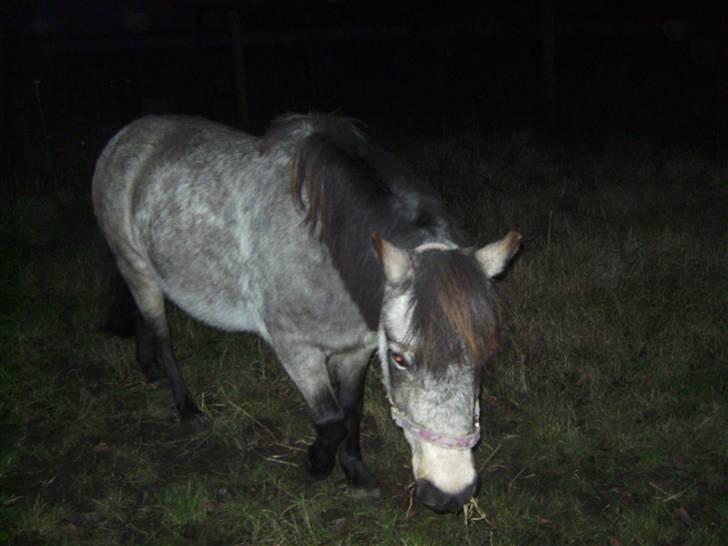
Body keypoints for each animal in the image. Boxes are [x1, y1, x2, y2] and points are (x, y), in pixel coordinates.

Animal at [92, 113, 520, 513]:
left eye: (483, 357)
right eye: (400, 358)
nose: (450, 493)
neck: (326, 250)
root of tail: (123, 138)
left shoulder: (357, 349)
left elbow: (350, 411)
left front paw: (356, 474)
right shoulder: (296, 349)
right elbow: (330, 422)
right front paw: (316, 465)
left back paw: (148, 368)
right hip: (136, 266)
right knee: (161, 333)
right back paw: (186, 408)